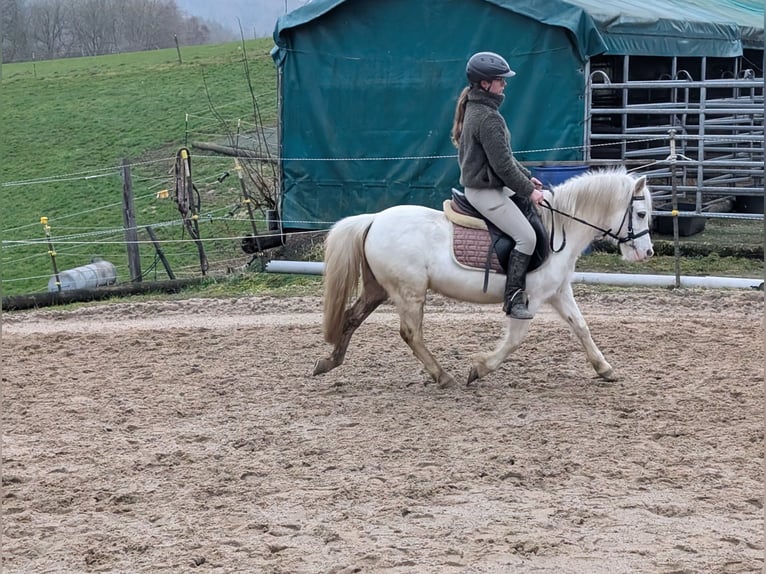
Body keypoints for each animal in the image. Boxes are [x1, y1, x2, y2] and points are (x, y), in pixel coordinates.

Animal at [313, 167, 654, 387]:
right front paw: (479, 368)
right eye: (640, 214)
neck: (559, 228)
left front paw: (605, 369)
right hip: (409, 292)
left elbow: (581, 327)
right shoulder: (531, 298)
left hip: (378, 289)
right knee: (411, 334)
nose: (647, 252)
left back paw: (329, 362)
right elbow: (515, 339)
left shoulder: (558, 292)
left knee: (352, 317)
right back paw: (443, 376)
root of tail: (374, 219)